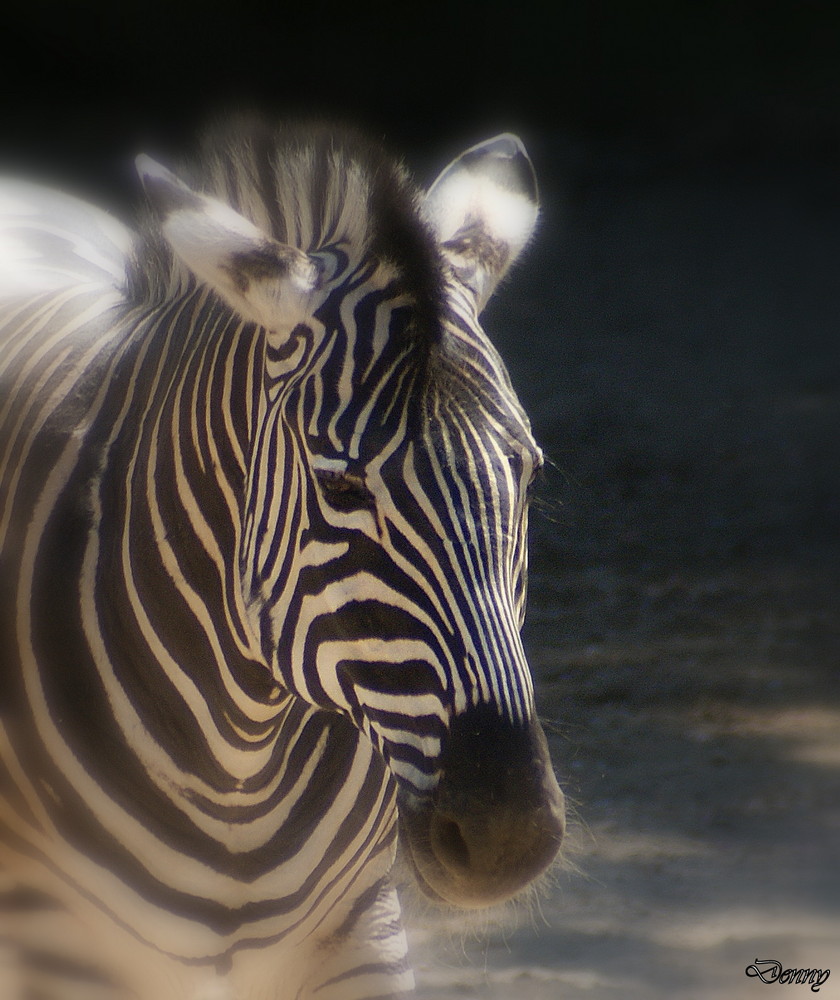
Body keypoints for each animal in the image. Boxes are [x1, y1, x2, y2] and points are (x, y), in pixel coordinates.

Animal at [1, 119, 564, 1000]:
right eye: (340, 485)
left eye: (527, 472)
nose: (507, 833)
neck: (240, 766)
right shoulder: (64, 949)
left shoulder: (359, 931)